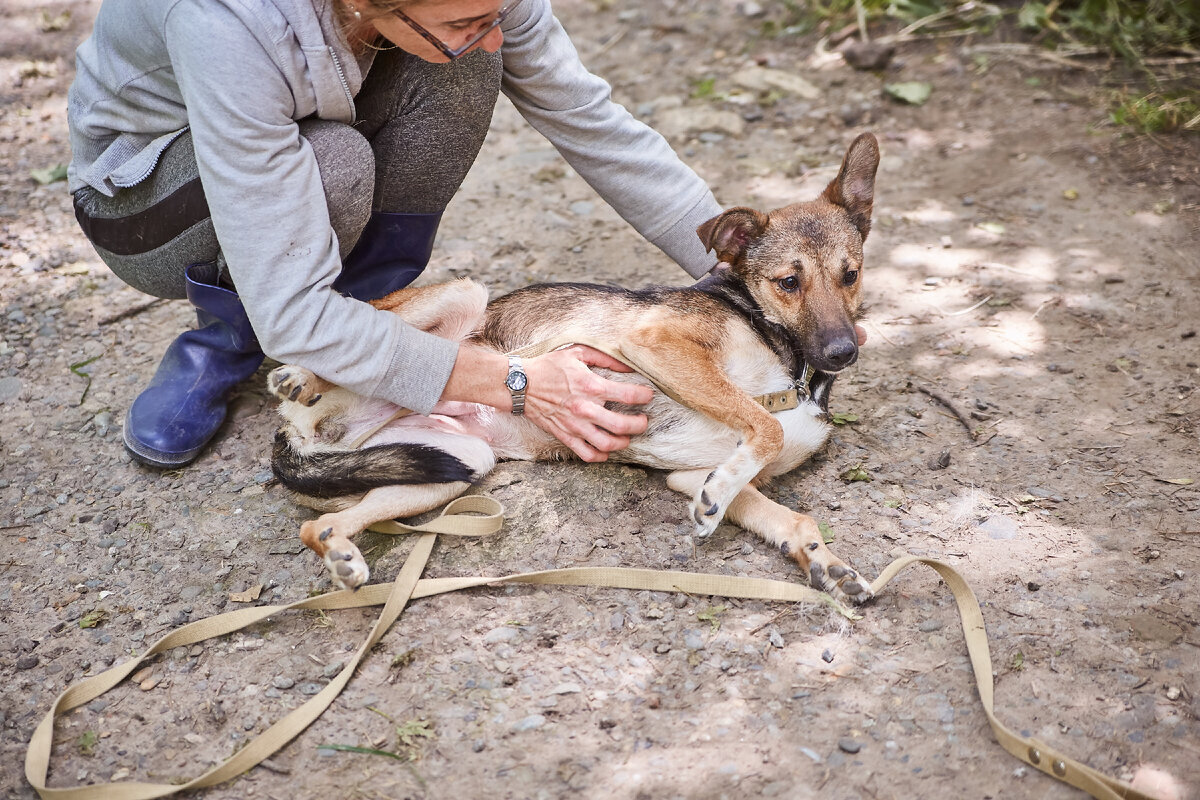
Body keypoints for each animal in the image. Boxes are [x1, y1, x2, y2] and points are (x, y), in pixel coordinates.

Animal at [265, 131, 883, 606]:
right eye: (788, 282)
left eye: (850, 274)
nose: (842, 353)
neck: (787, 360)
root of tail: (303, 435)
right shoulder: (659, 342)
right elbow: (765, 423)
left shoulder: (692, 473)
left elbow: (788, 515)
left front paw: (827, 564)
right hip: (463, 297)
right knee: (354, 343)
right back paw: (296, 377)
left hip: (451, 462)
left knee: (317, 526)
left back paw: (343, 556)